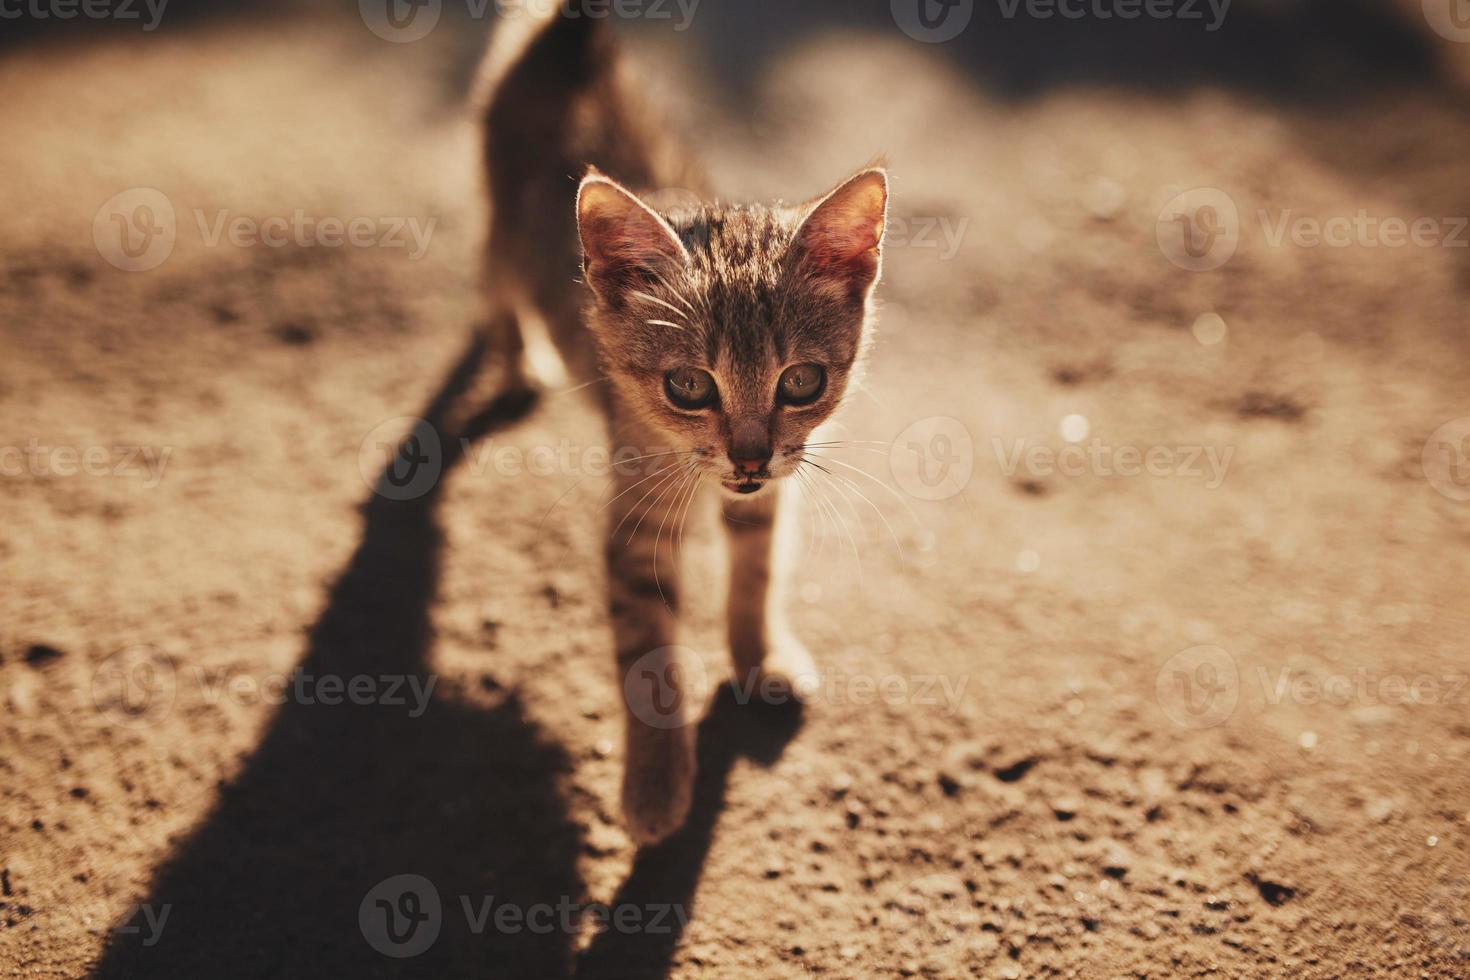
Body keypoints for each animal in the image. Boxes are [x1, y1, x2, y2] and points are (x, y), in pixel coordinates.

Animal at [479, 7, 882, 846]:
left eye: (802, 381)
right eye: (689, 386)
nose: (750, 456)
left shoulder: (776, 487)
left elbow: (756, 574)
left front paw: (760, 657)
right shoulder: (635, 521)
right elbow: (649, 654)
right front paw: (656, 783)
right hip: (500, 226)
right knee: (490, 278)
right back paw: (516, 356)